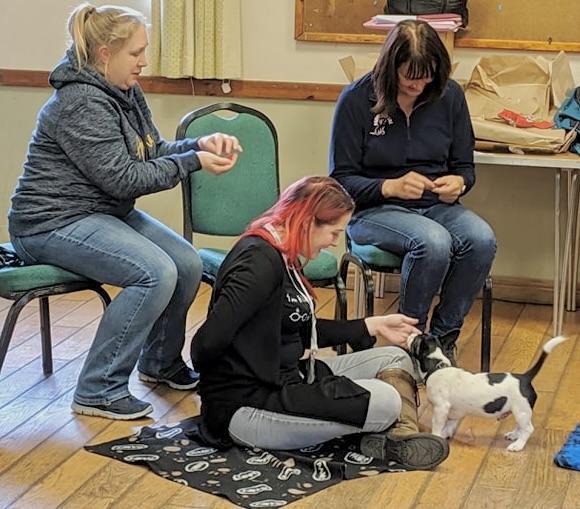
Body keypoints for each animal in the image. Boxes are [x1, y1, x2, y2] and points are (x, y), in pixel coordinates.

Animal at [408, 334, 568, 452]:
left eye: (417, 339)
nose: (411, 334)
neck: (437, 367)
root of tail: (525, 377)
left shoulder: (440, 408)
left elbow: (437, 426)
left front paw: (436, 437)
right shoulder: (454, 412)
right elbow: (449, 425)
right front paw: (445, 434)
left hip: (521, 410)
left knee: (528, 429)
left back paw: (517, 445)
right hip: (520, 411)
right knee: (521, 426)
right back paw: (514, 435)